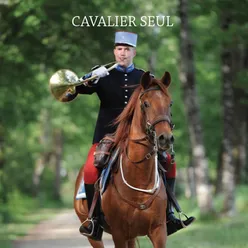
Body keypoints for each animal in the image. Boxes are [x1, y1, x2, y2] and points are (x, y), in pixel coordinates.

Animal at [74, 70, 173, 247]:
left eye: (170, 104)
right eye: (146, 104)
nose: (165, 138)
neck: (139, 177)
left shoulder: (159, 231)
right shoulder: (119, 233)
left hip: (132, 236)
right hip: (94, 236)